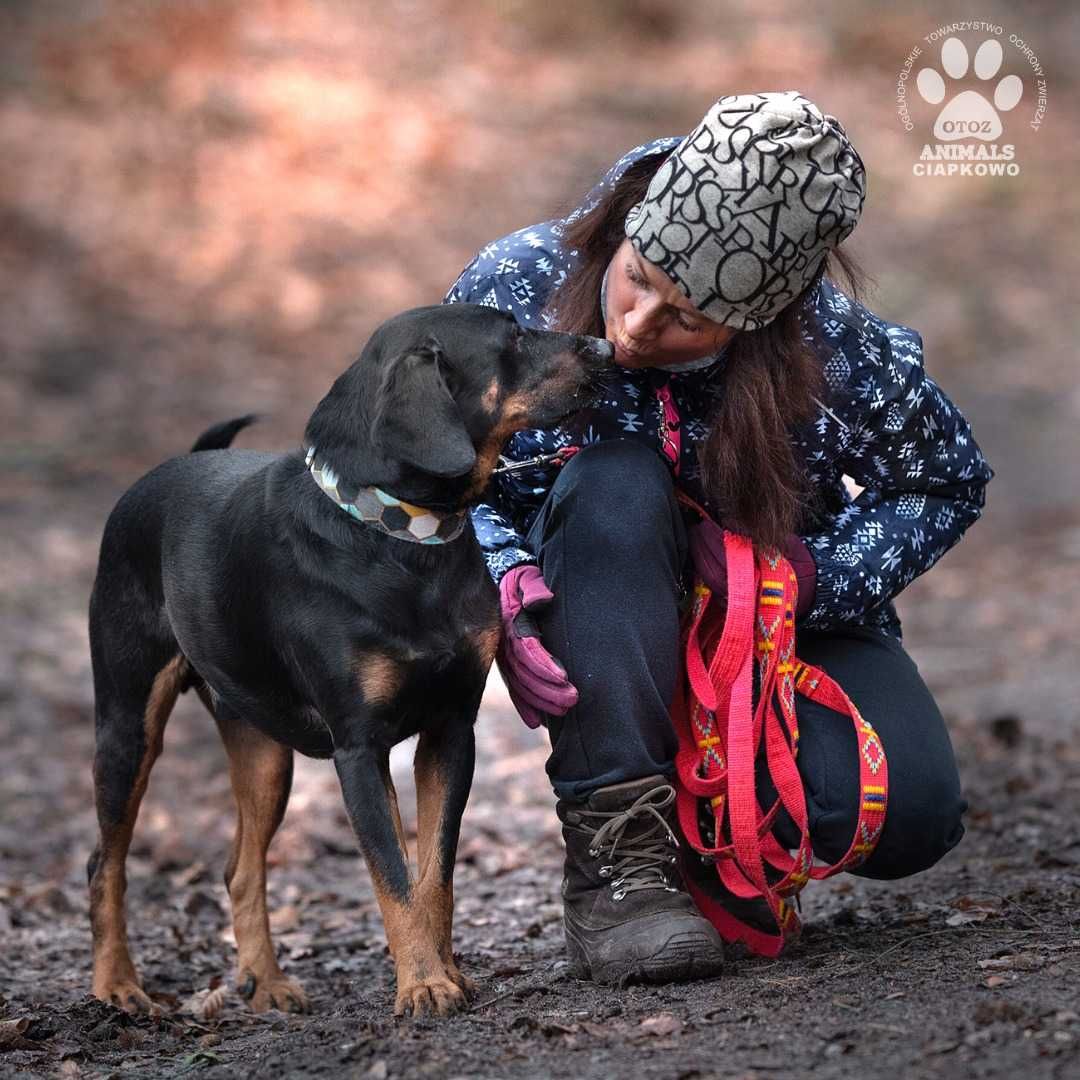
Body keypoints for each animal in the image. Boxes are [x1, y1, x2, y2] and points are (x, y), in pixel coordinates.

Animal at [88, 306, 613, 1019]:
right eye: (512, 338)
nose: (604, 347)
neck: (399, 537)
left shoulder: (451, 730)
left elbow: (434, 873)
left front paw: (445, 972)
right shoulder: (360, 748)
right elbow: (392, 876)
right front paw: (422, 984)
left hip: (264, 750)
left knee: (239, 866)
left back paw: (266, 981)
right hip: (128, 724)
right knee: (105, 864)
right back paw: (117, 984)